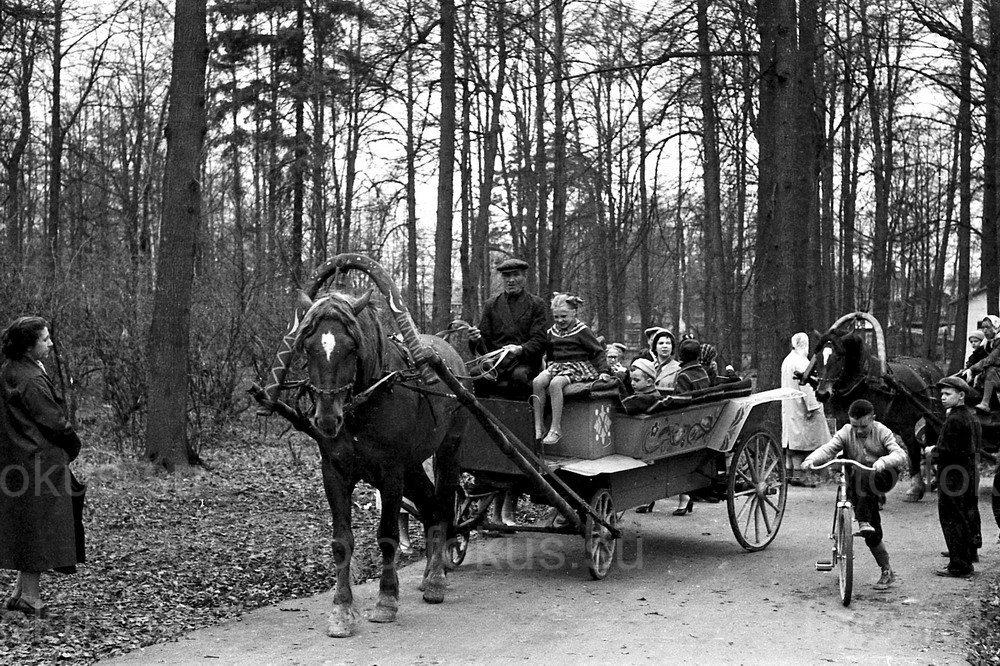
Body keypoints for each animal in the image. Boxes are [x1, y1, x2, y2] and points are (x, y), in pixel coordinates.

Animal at [294, 288, 470, 636]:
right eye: (309, 346)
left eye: (351, 347)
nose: (327, 418)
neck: (364, 403)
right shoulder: (334, 471)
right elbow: (341, 541)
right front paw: (341, 610)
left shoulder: (390, 473)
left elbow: (387, 536)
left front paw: (386, 601)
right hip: (412, 466)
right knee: (430, 506)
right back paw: (430, 573)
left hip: (447, 451)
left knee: (443, 505)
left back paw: (435, 579)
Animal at [808, 318, 940, 498]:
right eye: (818, 355)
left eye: (839, 357)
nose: (822, 393)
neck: (861, 381)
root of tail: (930, 368)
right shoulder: (842, 420)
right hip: (898, 423)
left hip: (916, 421)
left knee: (914, 448)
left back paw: (916, 488)